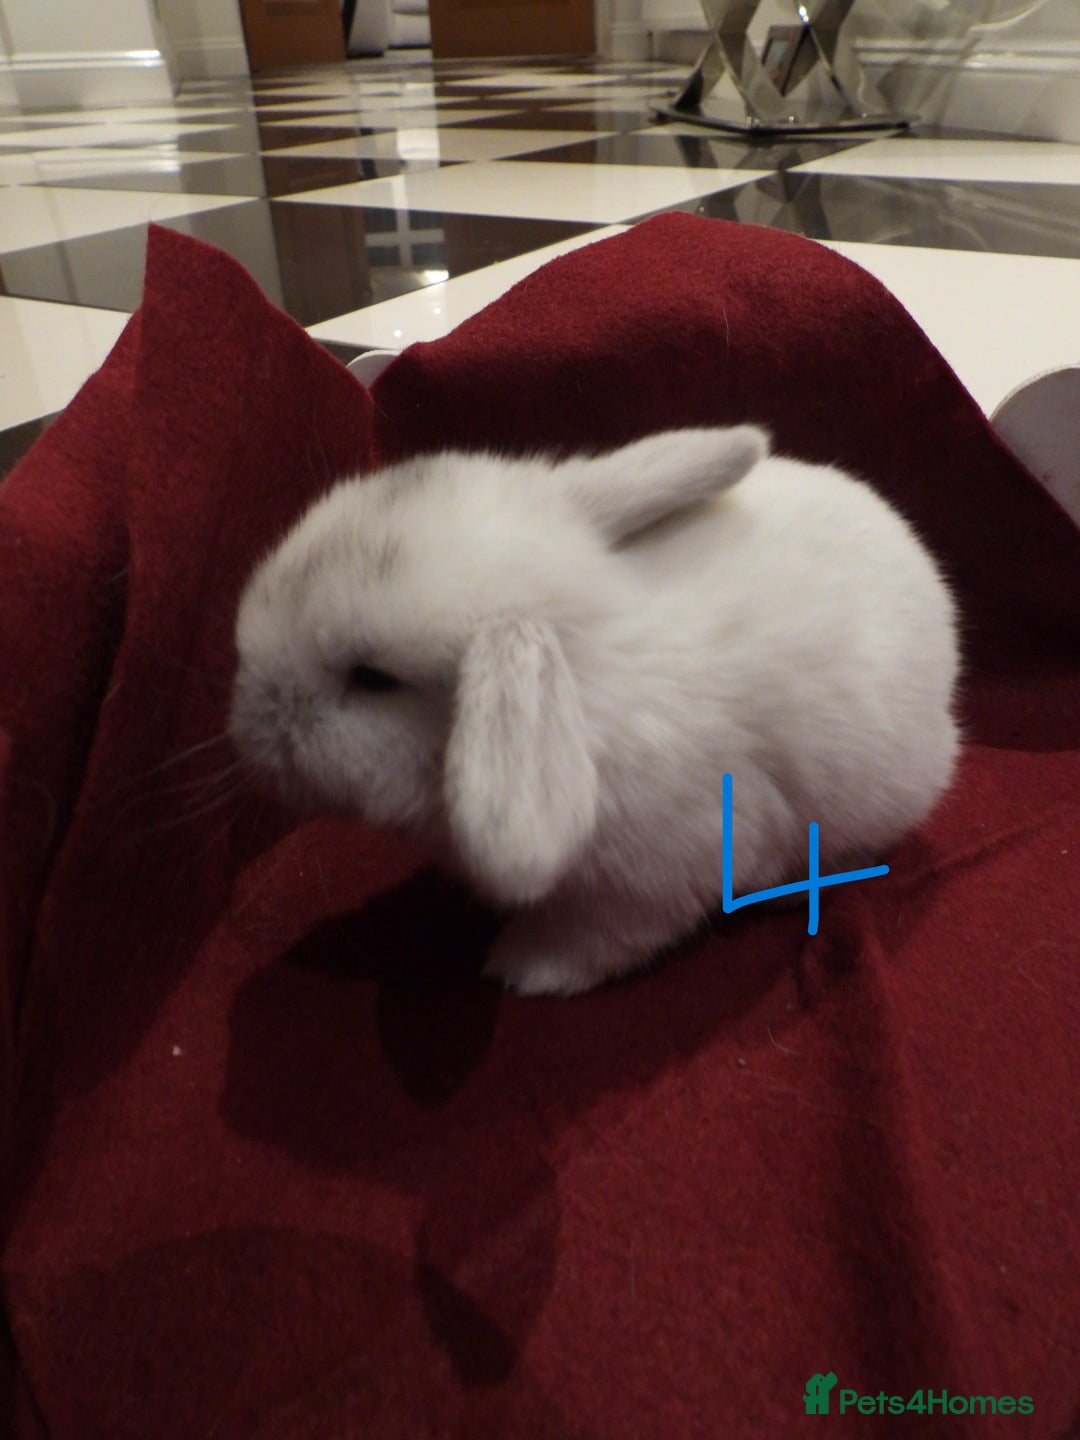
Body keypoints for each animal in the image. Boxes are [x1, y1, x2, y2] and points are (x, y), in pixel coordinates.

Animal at [230, 426, 960, 996]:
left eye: (372, 677)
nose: (245, 721)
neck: (581, 669)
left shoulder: (647, 886)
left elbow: (596, 943)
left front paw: (519, 968)